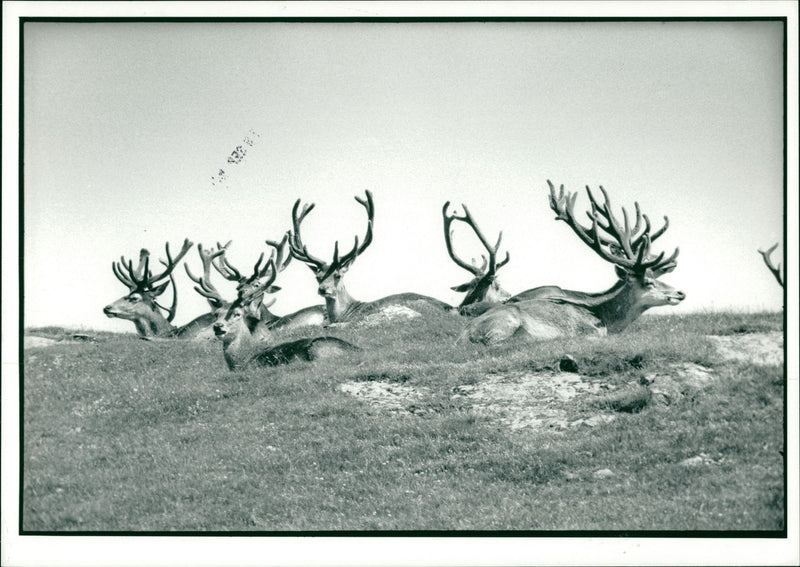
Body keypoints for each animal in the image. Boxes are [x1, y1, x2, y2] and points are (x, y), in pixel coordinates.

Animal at [205, 255, 358, 370]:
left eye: (237, 314)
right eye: (216, 314)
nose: (218, 326)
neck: (244, 361)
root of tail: (358, 350)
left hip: (318, 348)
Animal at [466, 182, 684, 344]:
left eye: (655, 276)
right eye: (648, 282)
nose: (680, 293)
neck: (604, 317)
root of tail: (464, 335)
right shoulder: (591, 331)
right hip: (505, 322)